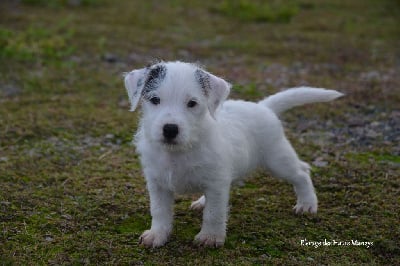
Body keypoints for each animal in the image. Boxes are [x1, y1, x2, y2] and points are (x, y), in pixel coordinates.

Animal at [123, 61, 342, 248]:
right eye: (155, 100)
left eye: (192, 103)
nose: (170, 129)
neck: (180, 151)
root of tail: (263, 107)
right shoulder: (158, 183)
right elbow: (159, 211)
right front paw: (157, 235)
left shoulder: (216, 183)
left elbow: (214, 213)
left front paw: (210, 237)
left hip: (277, 158)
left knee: (302, 172)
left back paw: (307, 204)